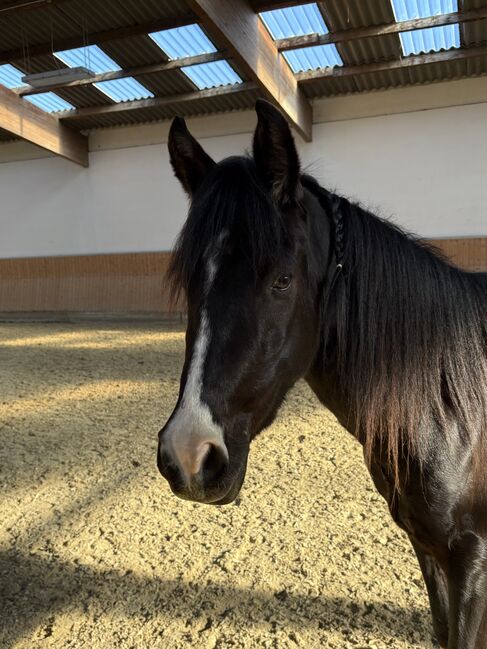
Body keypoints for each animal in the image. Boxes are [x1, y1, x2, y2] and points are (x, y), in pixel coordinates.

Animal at [157, 99, 487, 648]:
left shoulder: (471, 562)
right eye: (190, 283)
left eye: (282, 280)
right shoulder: (430, 551)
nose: (188, 456)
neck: (452, 408)